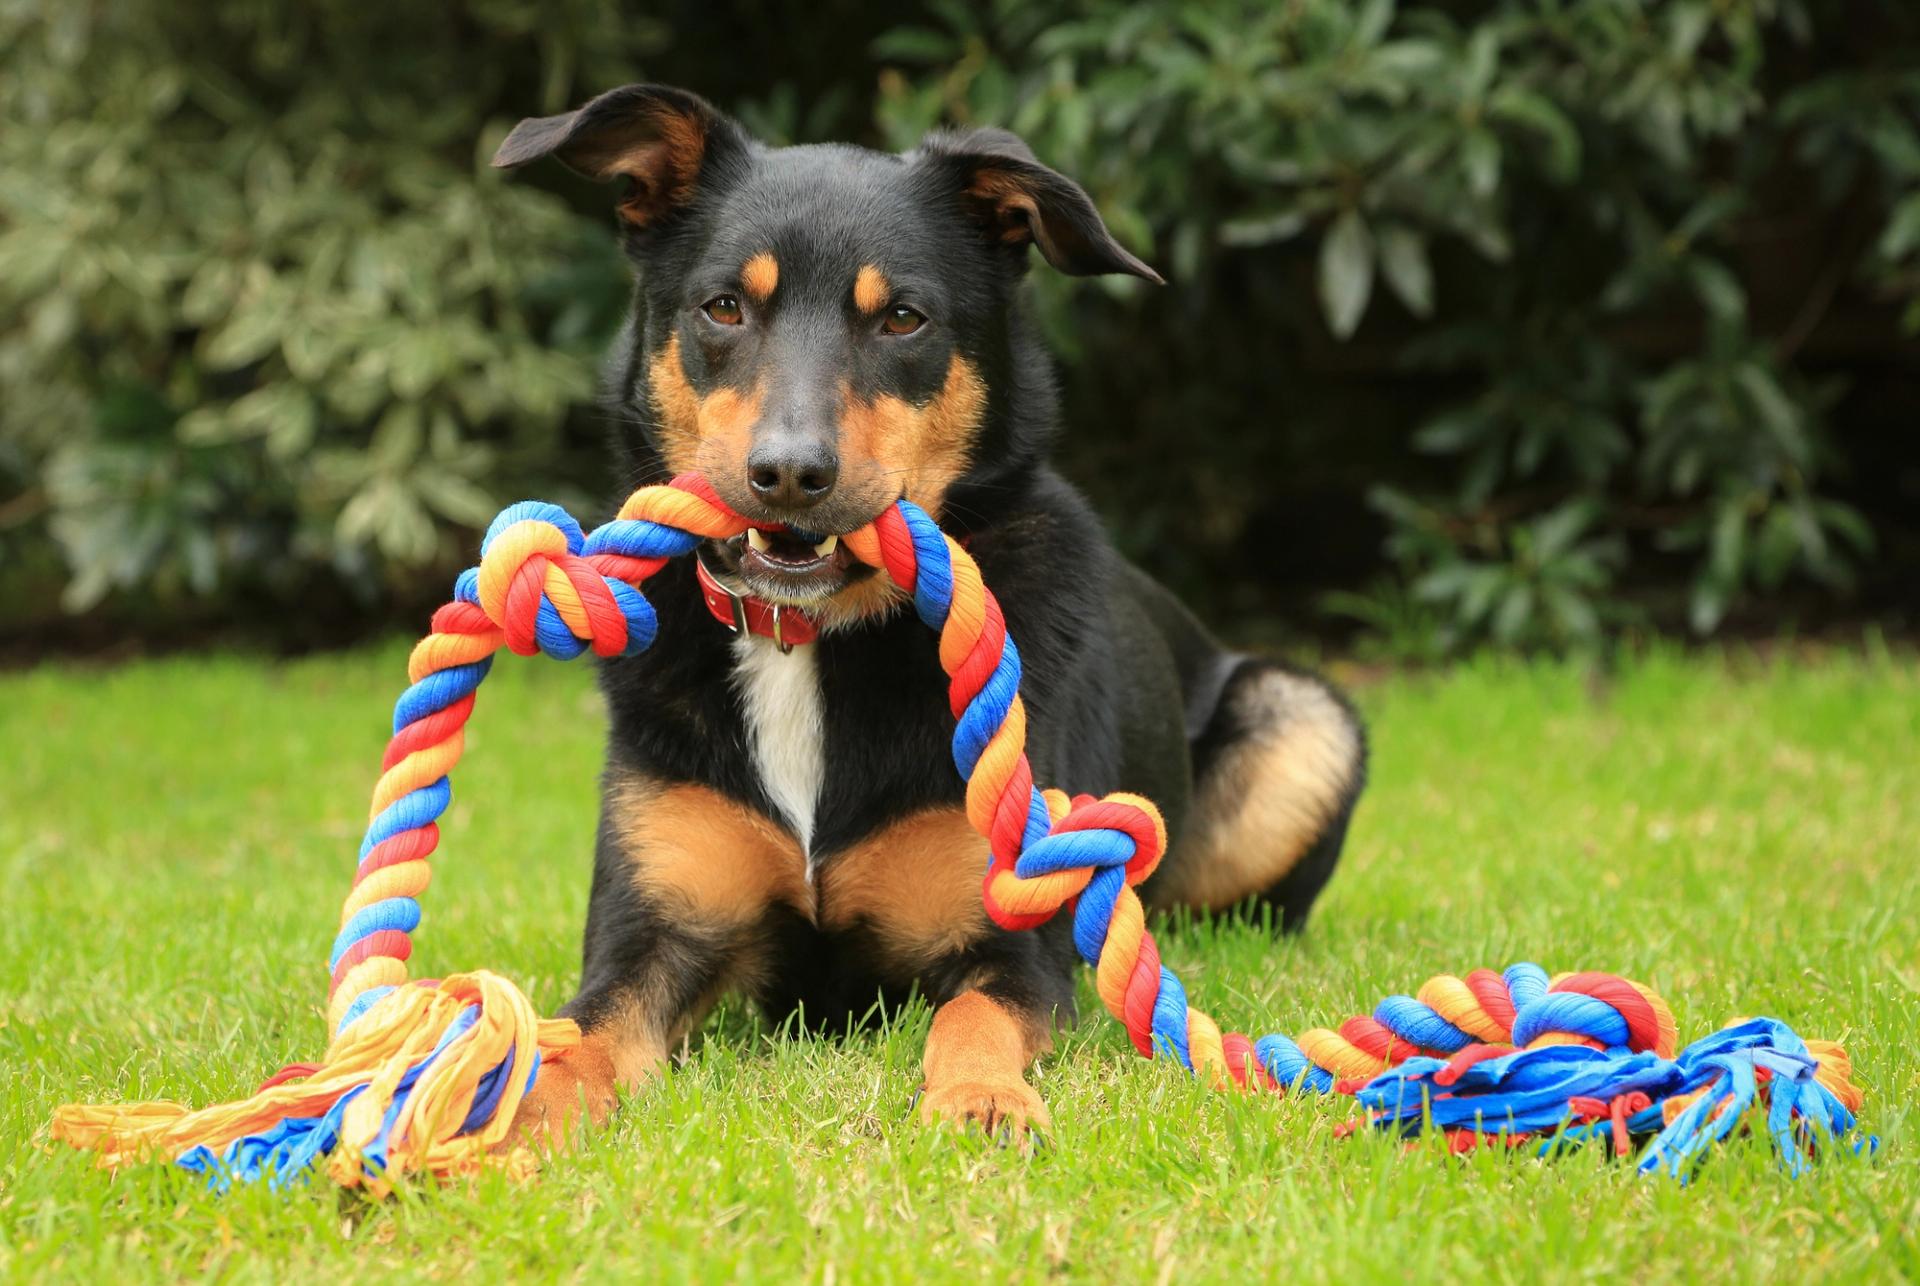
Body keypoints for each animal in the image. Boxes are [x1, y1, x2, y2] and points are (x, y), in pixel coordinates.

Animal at [495, 85, 1367, 1143]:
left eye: (903, 319)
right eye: (724, 307)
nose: (790, 473)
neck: (810, 644)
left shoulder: (1013, 942)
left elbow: (971, 1016)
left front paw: (982, 1098)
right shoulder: (651, 933)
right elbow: (574, 1039)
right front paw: (494, 1120)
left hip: (1304, 720)